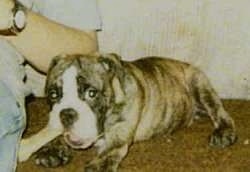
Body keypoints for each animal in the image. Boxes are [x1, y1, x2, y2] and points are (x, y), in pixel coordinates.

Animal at [18, 53, 237, 171]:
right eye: (53, 94)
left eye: (91, 93)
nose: (67, 113)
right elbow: (58, 135)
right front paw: (52, 149)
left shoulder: (120, 131)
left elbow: (111, 150)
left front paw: (98, 165)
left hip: (199, 84)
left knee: (220, 112)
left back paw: (224, 133)